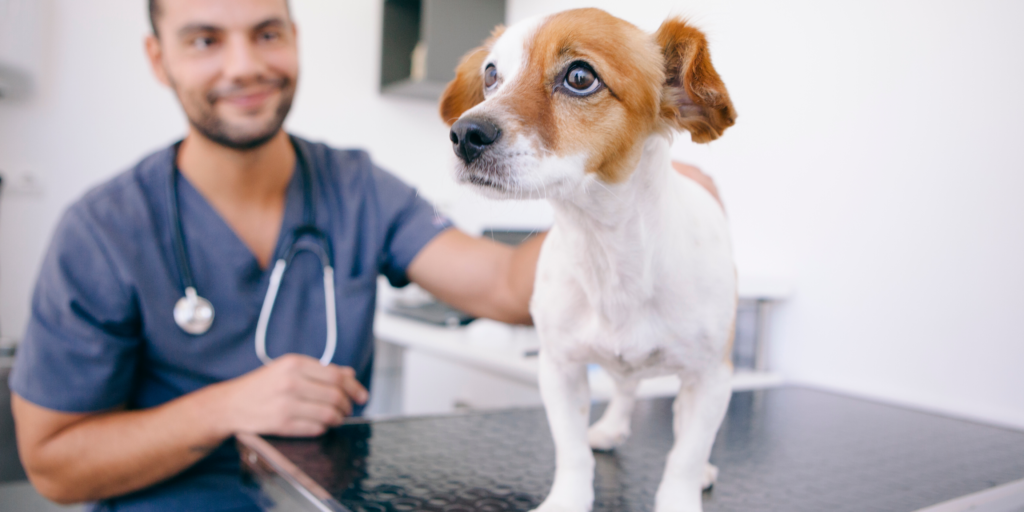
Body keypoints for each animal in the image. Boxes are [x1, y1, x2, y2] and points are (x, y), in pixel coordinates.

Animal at [440, 9, 737, 512]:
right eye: (491, 75)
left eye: (580, 77)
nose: (464, 134)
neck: (607, 250)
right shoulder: (560, 369)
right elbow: (572, 451)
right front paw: (567, 499)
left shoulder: (712, 378)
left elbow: (684, 457)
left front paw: (684, 488)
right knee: (625, 387)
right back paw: (612, 426)